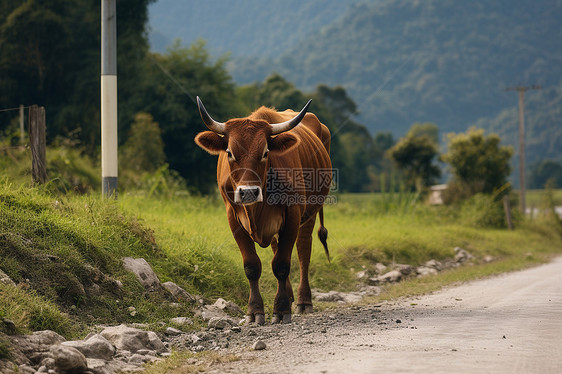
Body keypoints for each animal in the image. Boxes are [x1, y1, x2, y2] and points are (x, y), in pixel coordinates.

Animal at [195, 97, 330, 324]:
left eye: (266, 152)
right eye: (230, 153)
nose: (248, 192)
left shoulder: (293, 213)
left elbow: (282, 265)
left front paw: (281, 310)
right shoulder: (233, 217)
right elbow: (252, 266)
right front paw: (255, 311)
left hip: (311, 210)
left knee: (303, 249)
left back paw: (303, 301)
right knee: (277, 247)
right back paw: (290, 295)